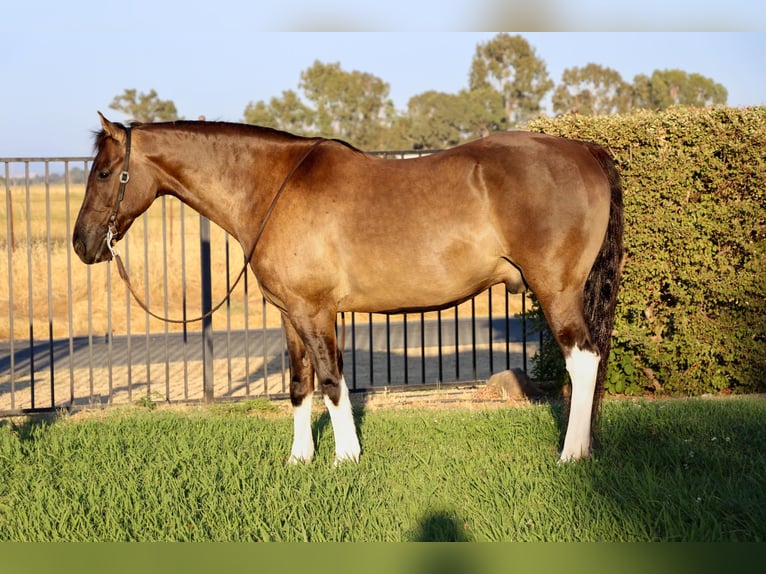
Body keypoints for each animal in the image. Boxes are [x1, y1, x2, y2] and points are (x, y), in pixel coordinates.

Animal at [73, 113, 623, 464]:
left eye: (103, 173)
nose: (81, 244)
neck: (272, 187)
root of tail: (584, 148)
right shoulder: (289, 313)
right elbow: (299, 385)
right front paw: (300, 460)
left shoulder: (316, 312)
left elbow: (333, 382)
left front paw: (346, 458)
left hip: (556, 291)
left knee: (583, 360)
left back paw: (571, 455)